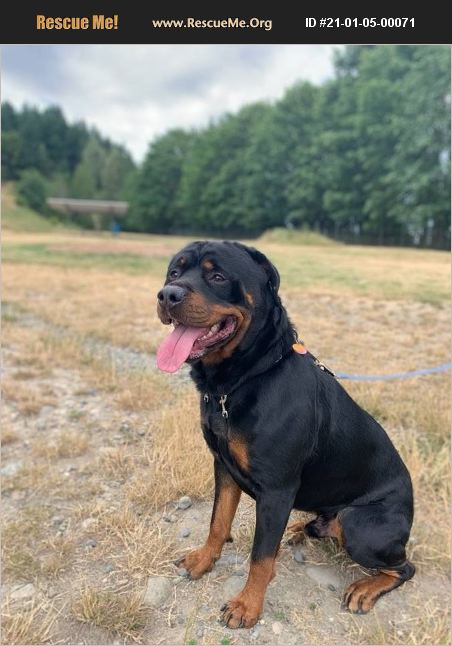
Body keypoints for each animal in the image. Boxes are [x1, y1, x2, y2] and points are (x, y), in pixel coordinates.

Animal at [157, 240, 414, 632]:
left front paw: (247, 606)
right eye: (174, 271)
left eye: (218, 277)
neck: (241, 379)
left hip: (361, 525)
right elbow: (217, 522)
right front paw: (203, 561)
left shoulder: (277, 489)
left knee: (405, 566)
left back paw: (365, 588)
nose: (167, 294)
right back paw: (300, 527)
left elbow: (261, 556)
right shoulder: (224, 467)